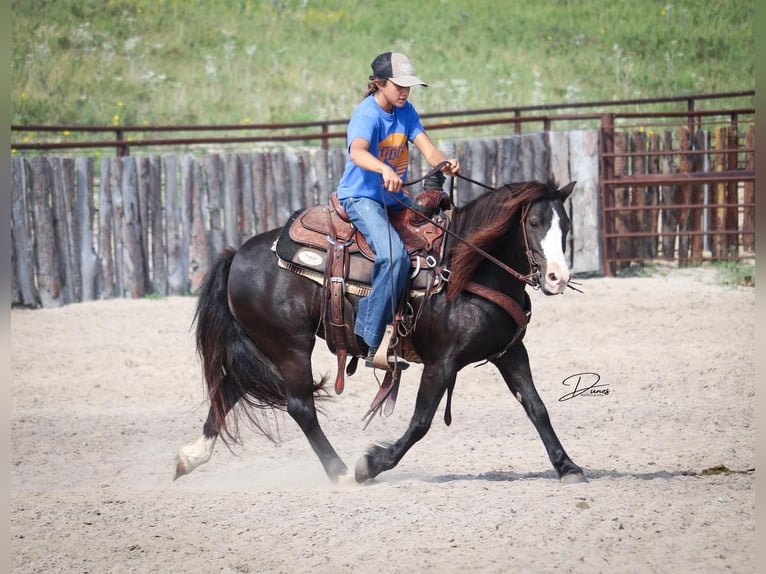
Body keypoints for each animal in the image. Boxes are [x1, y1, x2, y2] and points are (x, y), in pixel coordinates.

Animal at [176, 180, 588, 486]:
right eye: (534, 223)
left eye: (566, 225)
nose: (558, 277)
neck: (466, 270)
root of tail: (237, 254)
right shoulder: (442, 363)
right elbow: (421, 422)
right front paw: (371, 464)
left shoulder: (510, 353)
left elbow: (537, 407)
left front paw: (568, 467)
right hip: (290, 346)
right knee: (299, 406)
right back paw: (342, 473)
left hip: (266, 345)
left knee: (231, 387)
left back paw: (190, 457)